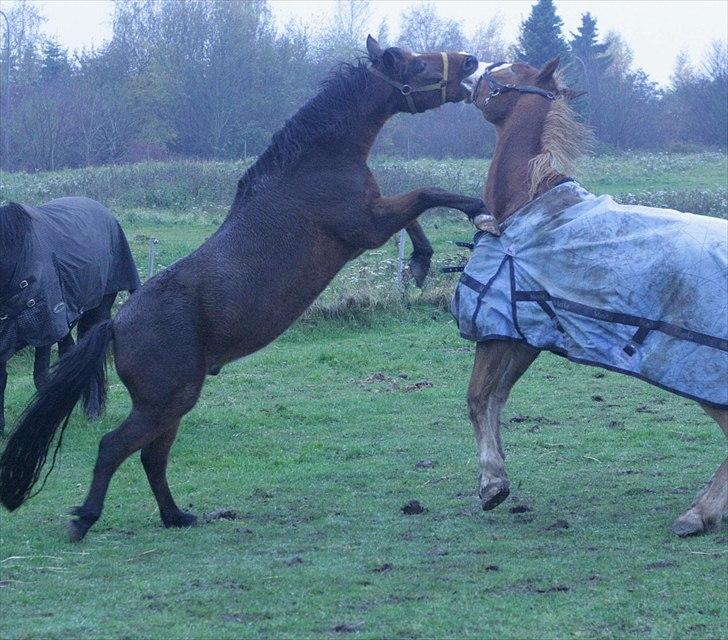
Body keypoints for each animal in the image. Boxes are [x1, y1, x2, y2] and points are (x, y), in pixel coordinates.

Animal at [0, 37, 498, 540]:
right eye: (415, 64)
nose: (471, 62)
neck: (317, 163)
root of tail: (117, 324)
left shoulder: (373, 218)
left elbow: (417, 209)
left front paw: (420, 262)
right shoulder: (365, 226)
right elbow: (427, 194)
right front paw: (476, 213)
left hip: (171, 405)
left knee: (151, 459)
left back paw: (177, 516)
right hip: (165, 402)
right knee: (113, 448)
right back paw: (85, 519)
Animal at [464, 60, 724, 536]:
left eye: (504, 73)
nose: (471, 70)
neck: (525, 205)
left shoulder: (495, 332)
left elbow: (476, 398)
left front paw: (492, 485)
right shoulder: (526, 335)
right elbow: (496, 397)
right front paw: (499, 477)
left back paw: (698, 514)